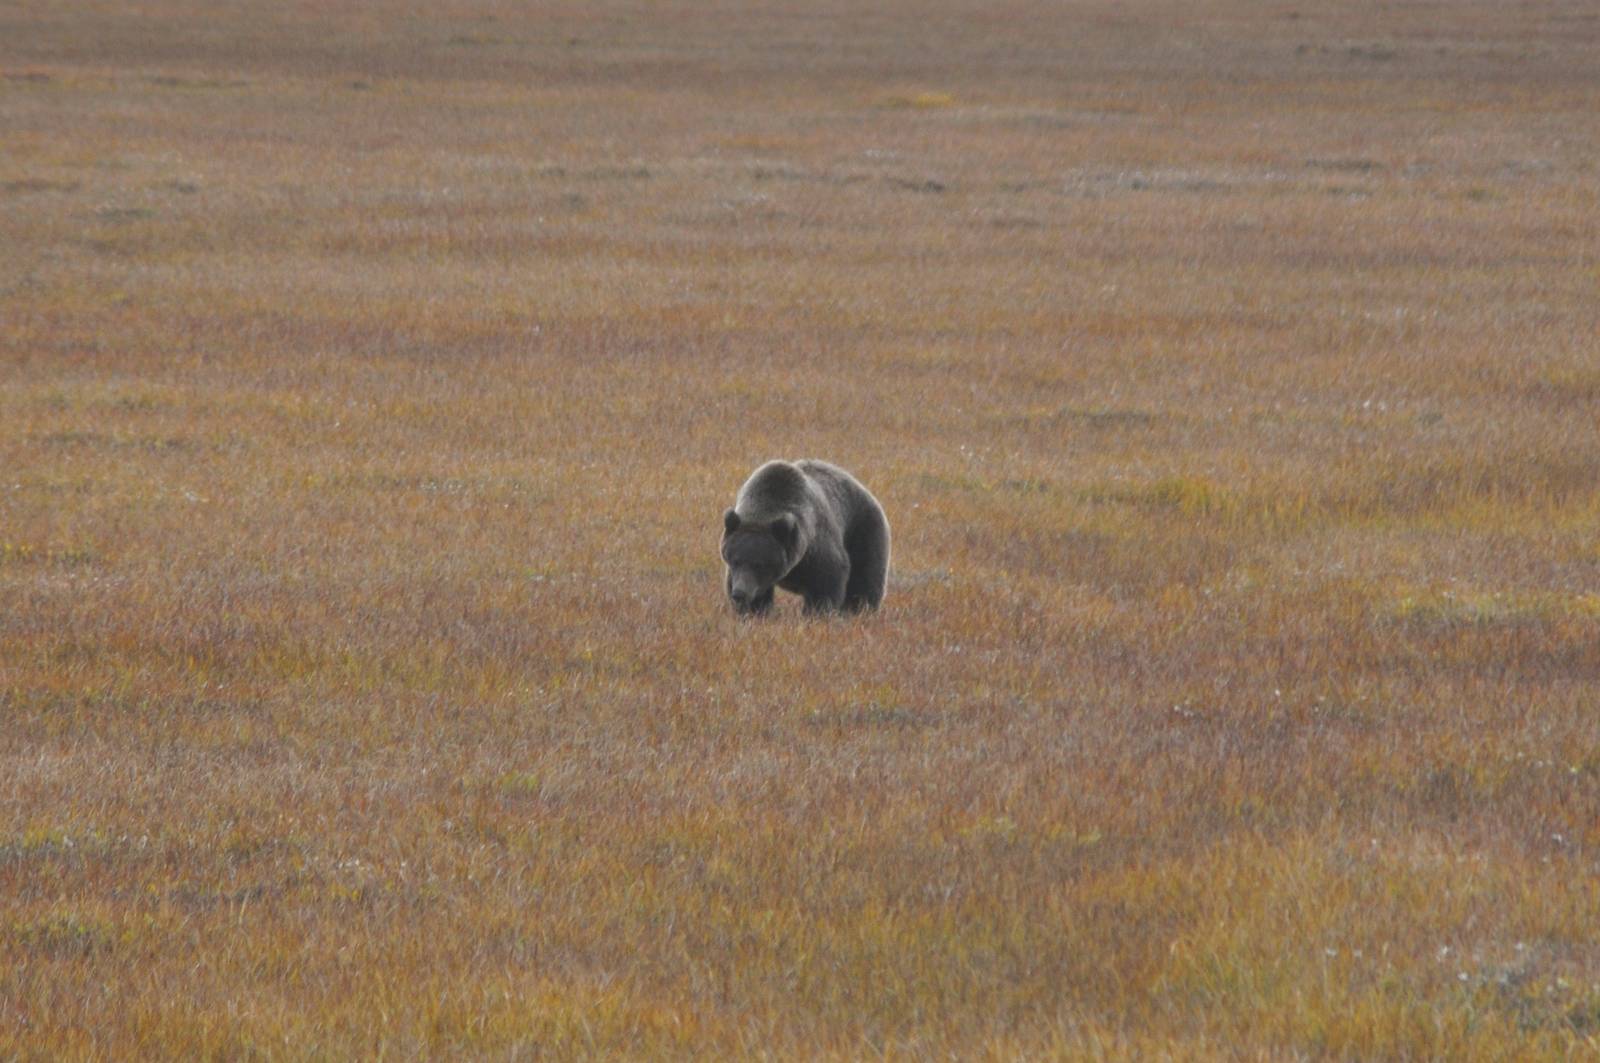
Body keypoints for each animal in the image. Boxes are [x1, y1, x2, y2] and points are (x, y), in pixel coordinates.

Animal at [720, 459, 890, 616]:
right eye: (735, 560)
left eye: (759, 564)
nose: (739, 593)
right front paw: (752, 611)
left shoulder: (815, 547)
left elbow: (826, 582)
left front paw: (816, 614)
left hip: (863, 528)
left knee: (864, 579)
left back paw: (858, 611)